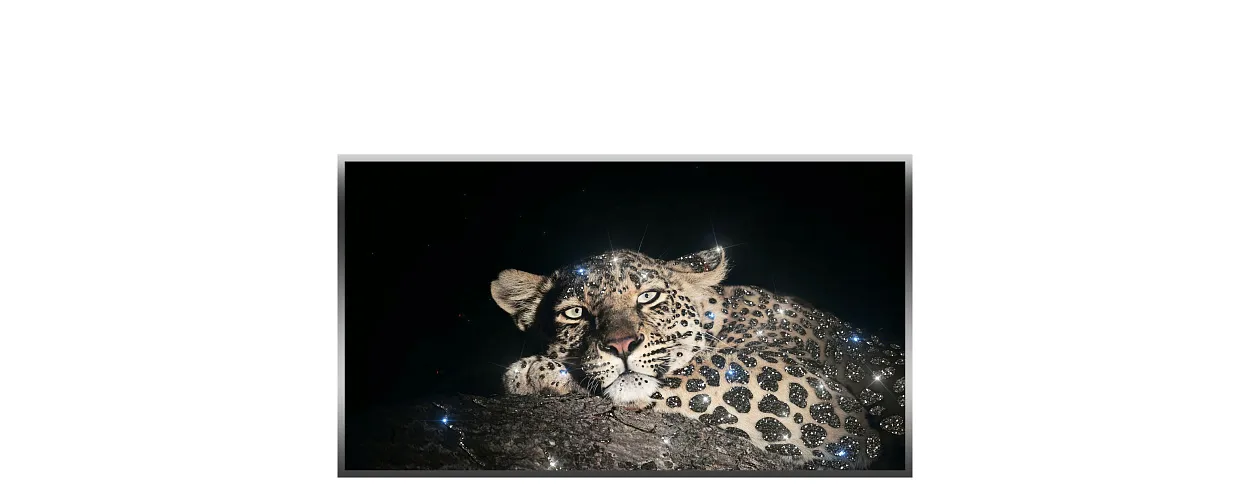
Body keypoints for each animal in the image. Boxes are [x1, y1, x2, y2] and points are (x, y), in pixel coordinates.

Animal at [489, 246, 905, 469]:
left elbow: (690, 375)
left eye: (648, 296)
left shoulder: (819, 402)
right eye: (574, 313)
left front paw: (534, 371)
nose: (622, 344)